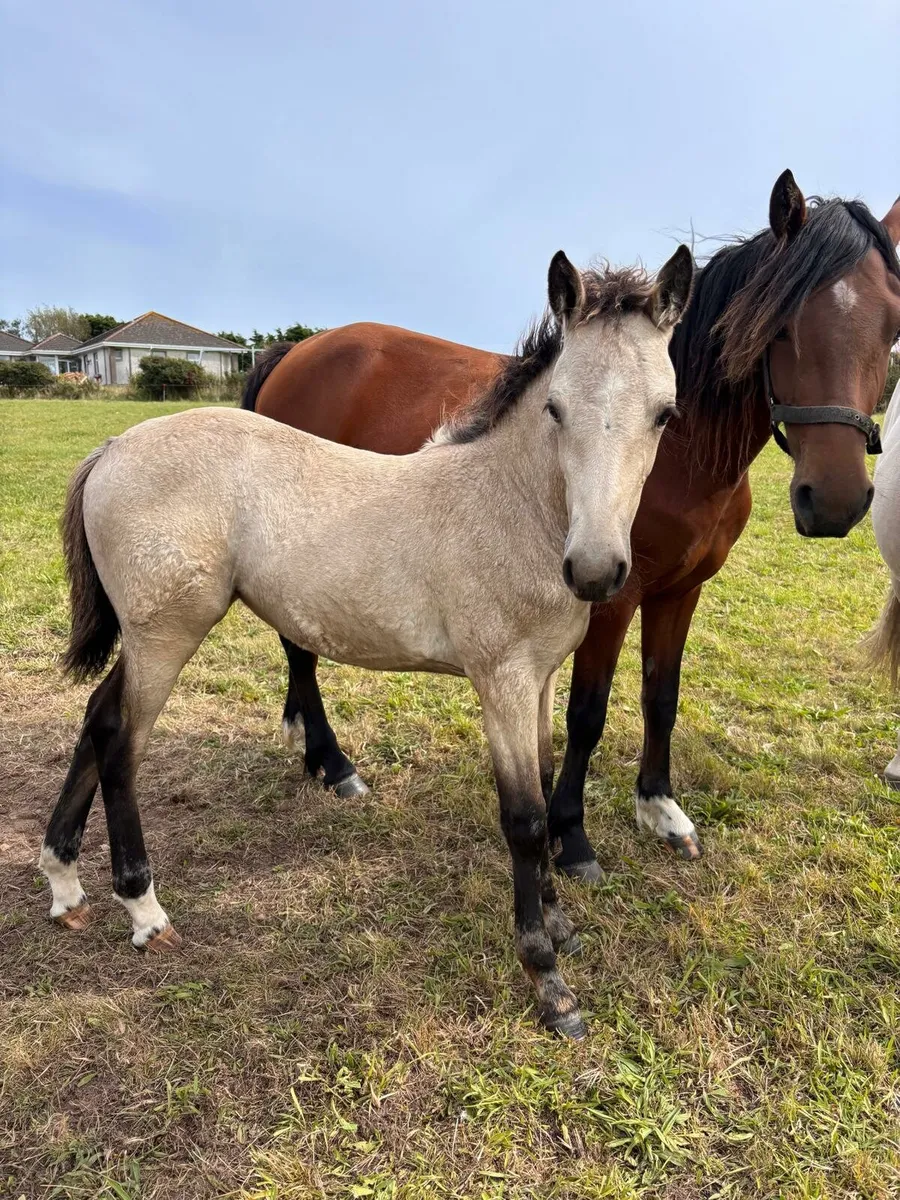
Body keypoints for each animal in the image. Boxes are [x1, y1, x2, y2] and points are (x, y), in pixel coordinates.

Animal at [39, 248, 694, 1038]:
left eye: (664, 414)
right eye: (555, 408)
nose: (595, 570)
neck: (510, 507)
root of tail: (111, 448)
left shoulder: (537, 679)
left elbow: (542, 781)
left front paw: (560, 927)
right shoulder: (501, 681)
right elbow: (526, 820)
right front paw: (548, 979)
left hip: (147, 638)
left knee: (96, 719)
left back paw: (64, 883)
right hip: (166, 634)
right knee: (120, 738)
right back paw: (143, 908)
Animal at [246, 171, 900, 880]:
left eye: (893, 324)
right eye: (782, 327)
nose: (834, 500)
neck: (681, 457)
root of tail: (298, 350)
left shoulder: (680, 591)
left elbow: (661, 695)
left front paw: (659, 808)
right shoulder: (611, 597)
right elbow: (587, 713)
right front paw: (572, 836)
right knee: (299, 649)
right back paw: (335, 763)